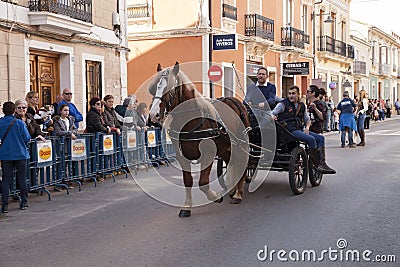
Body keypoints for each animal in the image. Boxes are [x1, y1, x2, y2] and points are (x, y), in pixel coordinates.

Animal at [149, 63, 250, 220]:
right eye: (154, 88)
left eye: (169, 89)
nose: (153, 115)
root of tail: (235, 102)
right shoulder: (181, 156)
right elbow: (188, 181)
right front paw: (186, 207)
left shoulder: (208, 153)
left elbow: (203, 182)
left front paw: (216, 197)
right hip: (227, 148)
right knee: (232, 163)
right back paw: (233, 189)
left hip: (242, 145)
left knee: (242, 165)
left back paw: (238, 194)